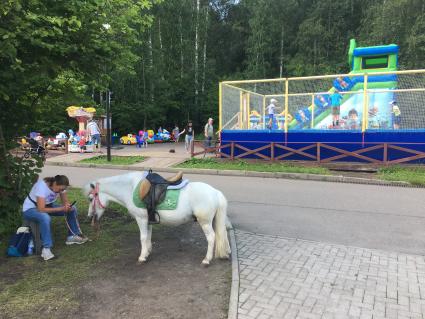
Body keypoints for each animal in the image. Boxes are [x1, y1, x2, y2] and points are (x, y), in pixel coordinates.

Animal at [82, 172, 229, 264]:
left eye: (91, 199)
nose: (90, 217)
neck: (130, 188)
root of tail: (215, 192)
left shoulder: (141, 219)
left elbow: (142, 237)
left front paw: (142, 257)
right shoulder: (148, 220)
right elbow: (148, 236)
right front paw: (147, 252)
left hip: (205, 222)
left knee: (211, 238)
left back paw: (207, 260)